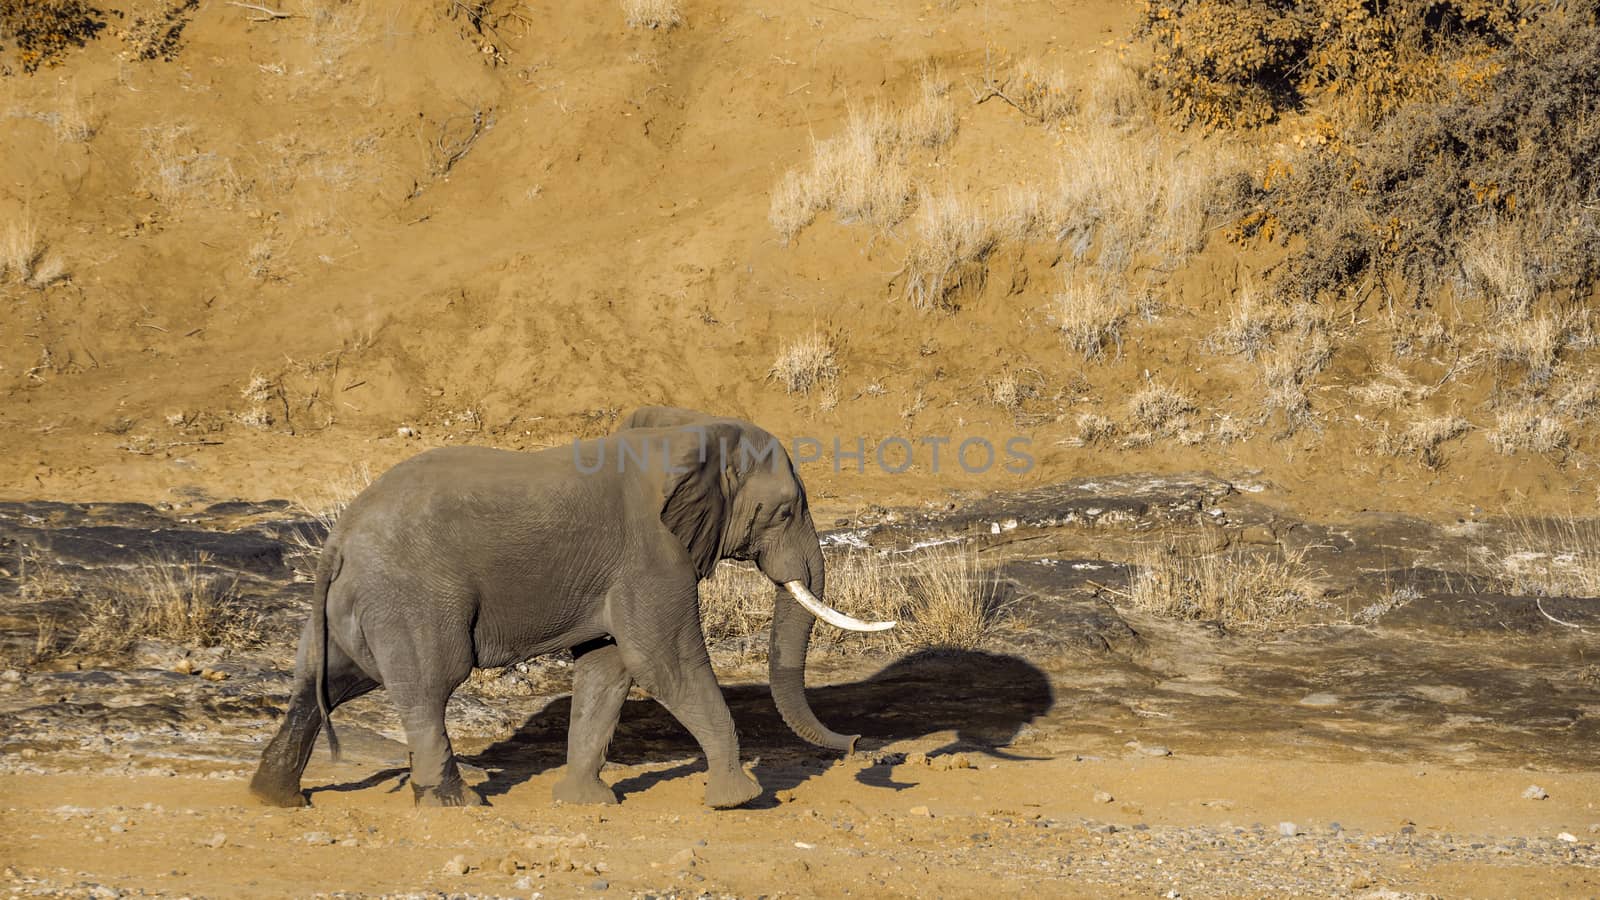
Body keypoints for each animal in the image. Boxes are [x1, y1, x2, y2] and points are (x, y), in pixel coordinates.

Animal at [248, 406, 889, 807]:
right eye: (784, 511)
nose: (859, 744)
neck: (688, 434)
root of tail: (339, 537)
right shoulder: (650, 554)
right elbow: (662, 661)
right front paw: (739, 800)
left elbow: (608, 666)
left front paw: (585, 803)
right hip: (411, 598)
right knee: (429, 686)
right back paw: (455, 804)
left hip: (356, 605)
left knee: (324, 682)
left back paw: (276, 798)